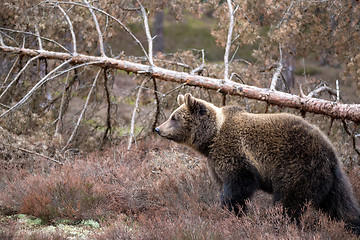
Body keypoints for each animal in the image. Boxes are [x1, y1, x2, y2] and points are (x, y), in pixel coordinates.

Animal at [156, 93, 360, 233]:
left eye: (174, 117)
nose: (158, 128)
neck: (211, 138)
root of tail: (329, 151)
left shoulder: (236, 155)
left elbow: (237, 187)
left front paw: (230, 212)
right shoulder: (214, 161)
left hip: (298, 167)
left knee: (289, 202)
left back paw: (279, 224)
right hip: (331, 178)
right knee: (341, 204)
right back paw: (352, 226)